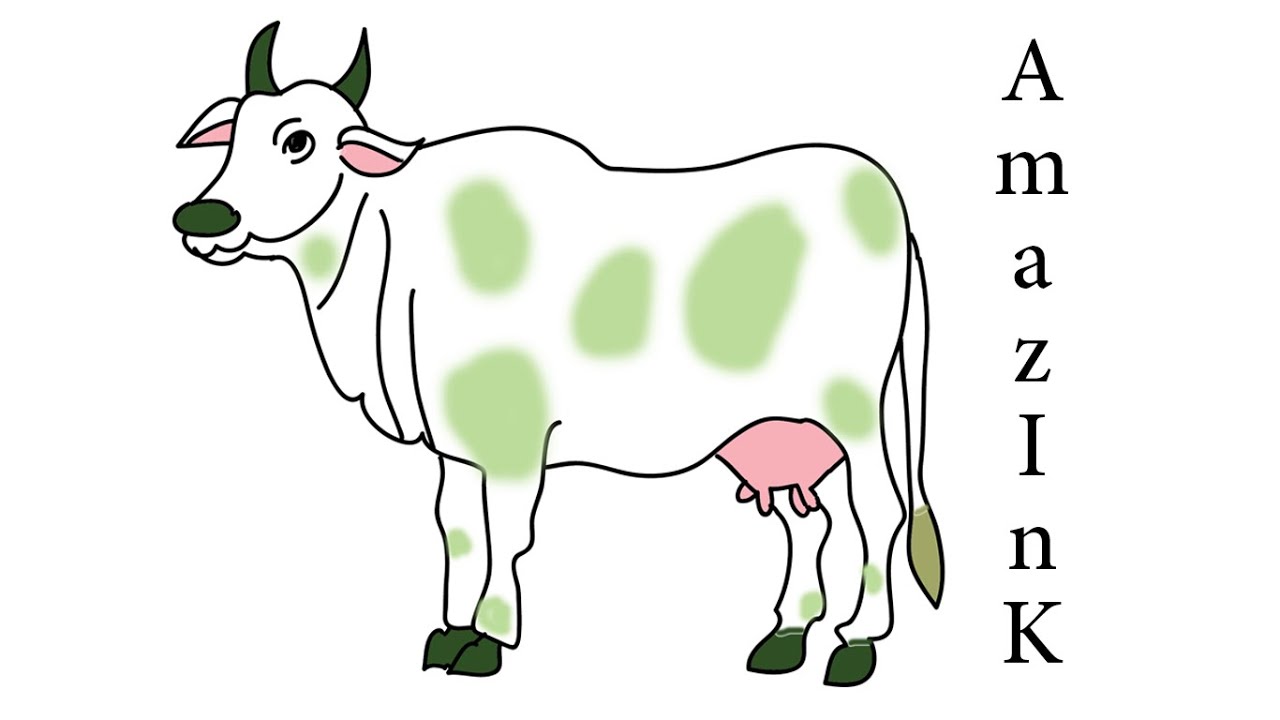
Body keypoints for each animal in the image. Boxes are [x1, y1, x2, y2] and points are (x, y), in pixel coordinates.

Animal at [173, 23, 944, 687]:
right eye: (231, 136)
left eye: (298, 140)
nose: (201, 217)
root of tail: (888, 200)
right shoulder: (457, 448)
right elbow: (458, 532)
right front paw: (449, 632)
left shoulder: (513, 442)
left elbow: (508, 536)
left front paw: (489, 639)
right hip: (784, 432)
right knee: (814, 523)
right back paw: (787, 636)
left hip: (856, 412)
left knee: (880, 514)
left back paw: (856, 643)